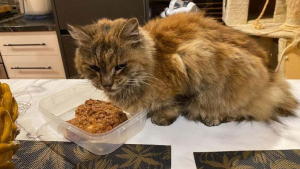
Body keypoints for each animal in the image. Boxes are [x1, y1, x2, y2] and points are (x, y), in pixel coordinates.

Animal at [68, 11, 298, 126]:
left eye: (120, 67)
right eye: (95, 67)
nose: (106, 84)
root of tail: (272, 78)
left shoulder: (186, 65)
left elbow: (173, 104)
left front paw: (162, 118)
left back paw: (214, 117)